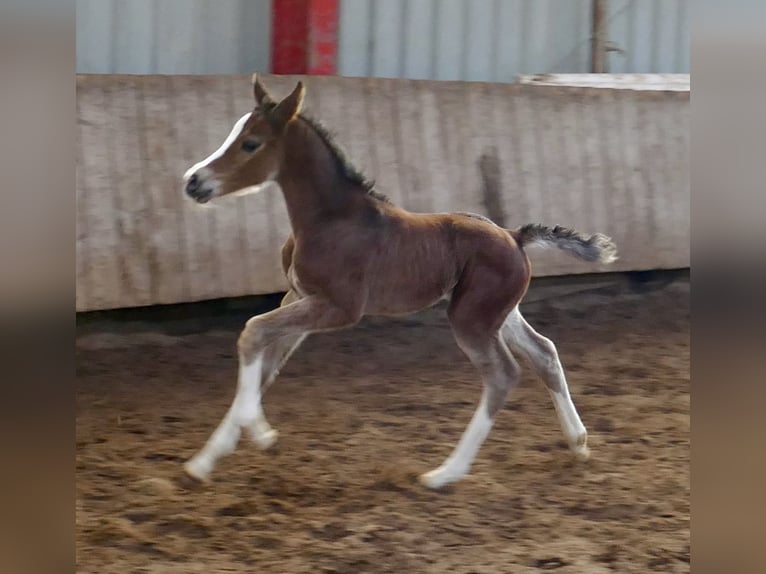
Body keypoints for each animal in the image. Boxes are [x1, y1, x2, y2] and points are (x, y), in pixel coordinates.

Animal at [181, 75, 617, 489]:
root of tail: (514, 236)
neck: (330, 219)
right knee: (544, 353)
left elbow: (252, 332)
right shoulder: (298, 297)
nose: (193, 182)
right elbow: (267, 361)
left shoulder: (338, 307)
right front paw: (207, 460)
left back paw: (445, 474)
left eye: (251, 143)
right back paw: (578, 442)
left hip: (471, 320)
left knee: (503, 375)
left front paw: (258, 435)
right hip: (501, 313)